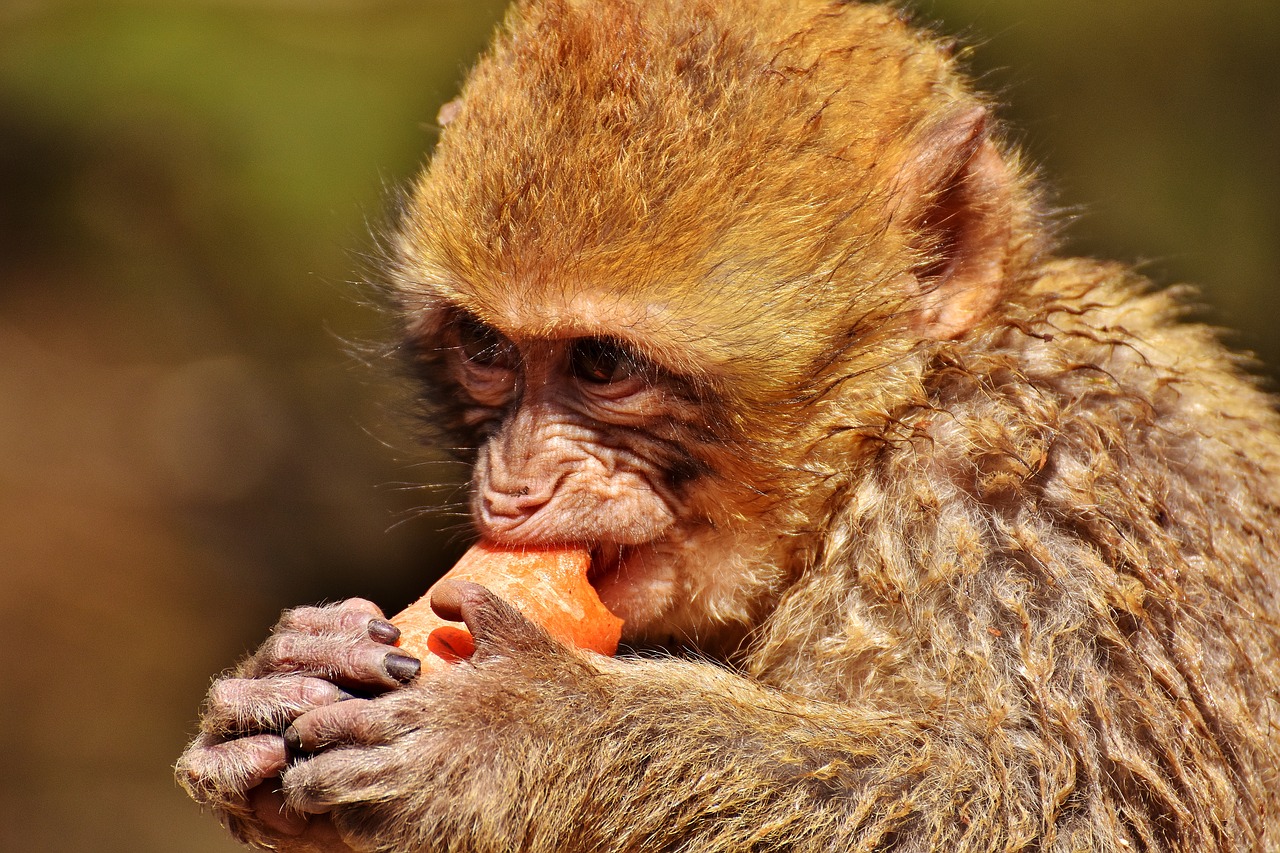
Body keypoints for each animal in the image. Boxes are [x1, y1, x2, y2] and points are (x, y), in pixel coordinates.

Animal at [177, 0, 1280, 845]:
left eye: (604, 363)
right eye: (488, 349)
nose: (515, 488)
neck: (889, 433)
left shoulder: (1041, 497)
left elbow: (1071, 812)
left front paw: (526, 732)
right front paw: (288, 674)